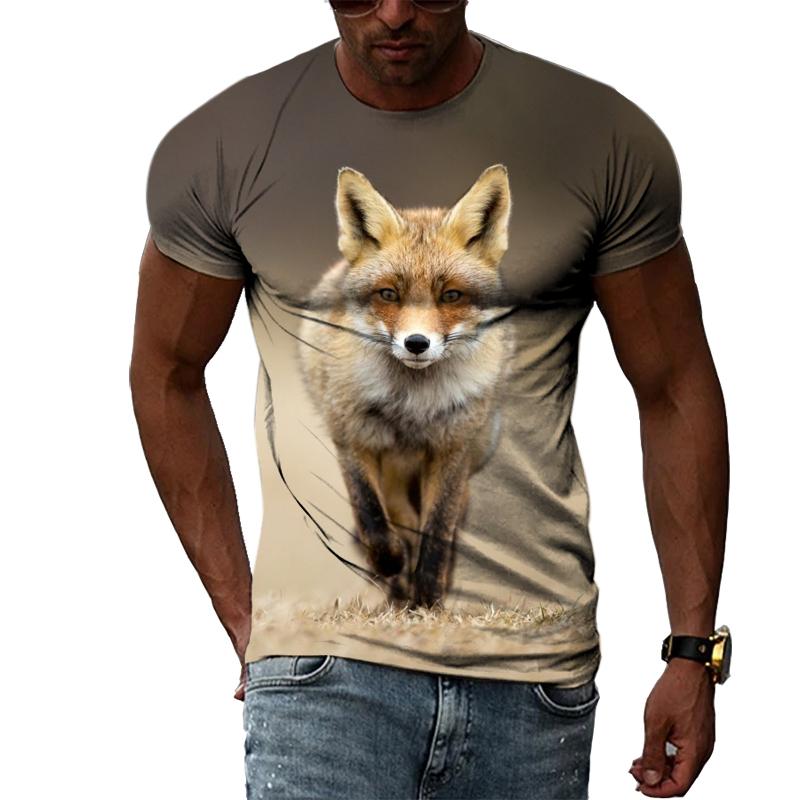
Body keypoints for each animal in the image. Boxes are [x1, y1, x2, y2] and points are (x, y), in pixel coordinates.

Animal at [297, 163, 517, 610]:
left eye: (451, 295)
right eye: (388, 294)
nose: (417, 343)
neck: (411, 403)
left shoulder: (452, 449)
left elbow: (438, 532)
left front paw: (430, 599)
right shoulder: (353, 438)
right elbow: (371, 517)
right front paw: (391, 563)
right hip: (392, 466)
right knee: (396, 518)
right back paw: (397, 587)